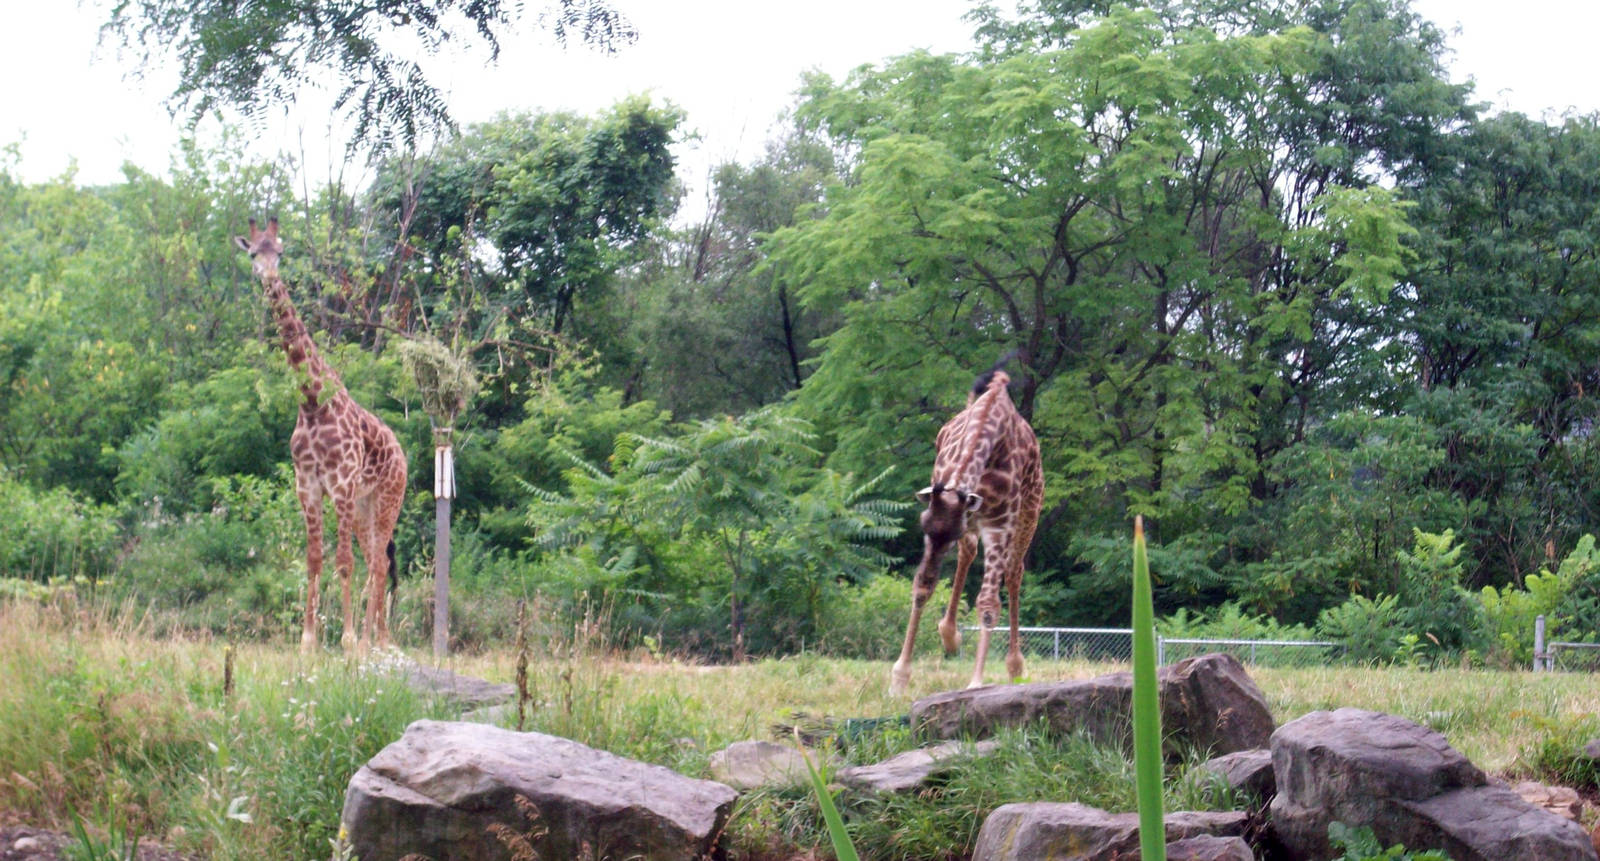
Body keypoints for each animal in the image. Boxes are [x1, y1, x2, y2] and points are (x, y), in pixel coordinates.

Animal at [234, 217, 408, 654]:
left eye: (280, 252)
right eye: (252, 253)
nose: (269, 277)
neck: (313, 402)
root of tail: (402, 454)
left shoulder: (341, 483)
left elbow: (342, 562)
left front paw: (345, 639)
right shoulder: (308, 485)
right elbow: (314, 559)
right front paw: (308, 641)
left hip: (387, 499)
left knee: (378, 562)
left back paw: (376, 642)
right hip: (365, 506)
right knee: (378, 561)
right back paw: (374, 640)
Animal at [889, 363, 1042, 695]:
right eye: (923, 527)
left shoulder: (997, 525)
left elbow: (987, 602)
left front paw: (975, 684)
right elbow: (923, 585)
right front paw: (899, 678)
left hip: (1029, 510)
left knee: (1014, 572)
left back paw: (1015, 667)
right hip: (977, 521)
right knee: (969, 554)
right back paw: (949, 635)